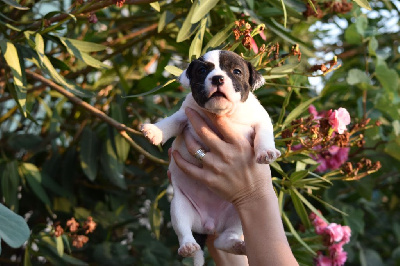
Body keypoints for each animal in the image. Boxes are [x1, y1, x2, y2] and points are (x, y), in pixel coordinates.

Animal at [141, 50, 282, 264]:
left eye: (236, 71)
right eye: (202, 70)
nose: (217, 78)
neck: (222, 114)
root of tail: (210, 225)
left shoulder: (261, 120)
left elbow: (263, 135)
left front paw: (266, 151)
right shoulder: (186, 114)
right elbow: (171, 121)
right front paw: (155, 131)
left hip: (237, 212)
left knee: (223, 239)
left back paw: (237, 245)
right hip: (180, 207)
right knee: (185, 231)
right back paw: (189, 246)